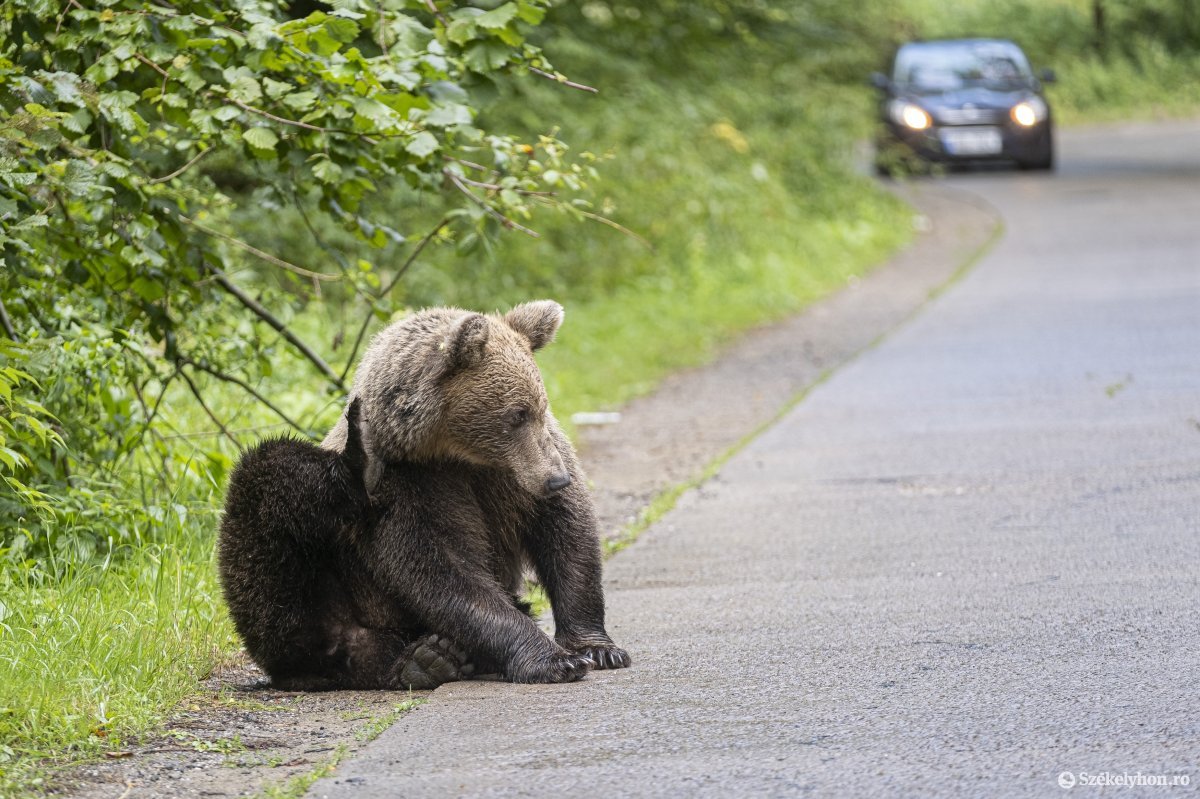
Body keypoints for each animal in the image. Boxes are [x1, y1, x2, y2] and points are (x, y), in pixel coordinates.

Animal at [218, 298, 628, 686]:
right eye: (517, 413)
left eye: (540, 407)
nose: (556, 480)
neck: (453, 452)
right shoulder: (411, 486)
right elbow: (441, 569)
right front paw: (554, 660)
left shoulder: (512, 476)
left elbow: (567, 532)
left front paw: (596, 648)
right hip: (332, 571)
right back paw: (415, 660)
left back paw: (439, 655)